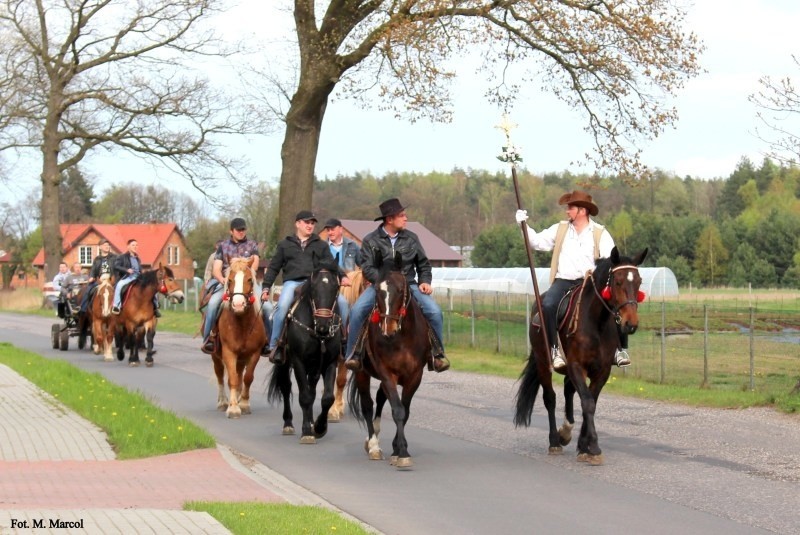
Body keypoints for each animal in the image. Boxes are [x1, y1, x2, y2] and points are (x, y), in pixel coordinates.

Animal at [211, 258, 268, 418]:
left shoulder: (254, 353)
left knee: (240, 375)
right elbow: (232, 379)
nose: (238, 305)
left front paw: (243, 404)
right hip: (216, 355)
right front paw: (233, 408)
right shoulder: (229, 352)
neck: (242, 323)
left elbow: (247, 378)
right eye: (229, 280)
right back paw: (223, 402)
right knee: (219, 374)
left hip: (242, 358)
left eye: (249, 279)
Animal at [268, 258, 344, 446]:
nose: (323, 325)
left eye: (335, 288)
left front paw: (319, 427)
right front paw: (307, 432)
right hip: (285, 362)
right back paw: (288, 424)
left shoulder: (330, 363)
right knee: (286, 387)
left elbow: (327, 398)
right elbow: (304, 396)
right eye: (314, 288)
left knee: (312, 390)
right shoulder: (298, 362)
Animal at [346, 251, 432, 468]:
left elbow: (404, 410)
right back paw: (373, 446)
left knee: (379, 398)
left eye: (401, 289)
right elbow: (397, 410)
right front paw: (401, 452)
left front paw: (398, 448)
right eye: (377, 289)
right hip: (361, 373)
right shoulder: (386, 373)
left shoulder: (414, 376)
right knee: (368, 405)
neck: (401, 338)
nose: (388, 328)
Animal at [512, 247, 648, 464]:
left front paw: (584, 446)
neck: (596, 323)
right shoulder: (577, 366)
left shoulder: (602, 371)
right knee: (550, 398)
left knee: (568, 391)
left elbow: (590, 402)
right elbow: (587, 402)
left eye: (639, 281)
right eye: (618, 281)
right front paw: (593, 446)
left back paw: (566, 431)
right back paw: (555, 441)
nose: (630, 323)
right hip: (543, 363)